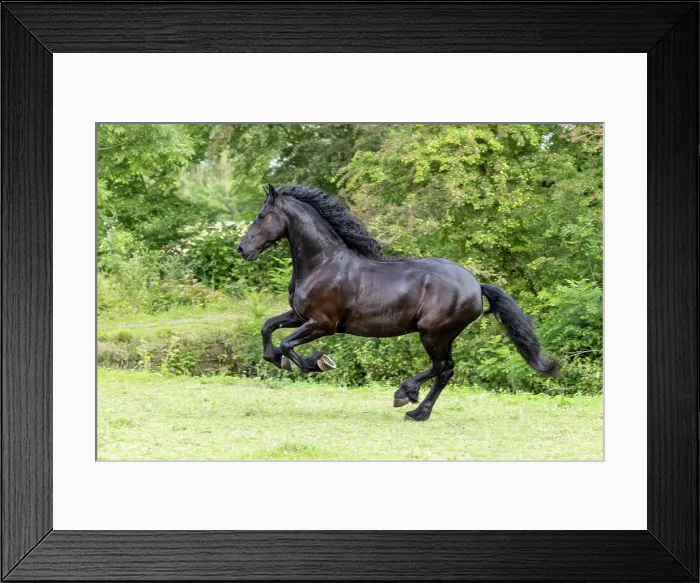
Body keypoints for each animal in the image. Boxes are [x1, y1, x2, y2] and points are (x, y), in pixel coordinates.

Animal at [238, 184, 559, 421]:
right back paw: (417, 411)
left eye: (262, 215)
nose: (242, 249)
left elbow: (287, 344)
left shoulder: (322, 324)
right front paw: (278, 360)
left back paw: (406, 396)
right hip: (444, 335)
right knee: (446, 370)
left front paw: (318, 362)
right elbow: (268, 328)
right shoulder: (298, 316)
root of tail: (476, 285)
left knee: (443, 367)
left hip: (432, 333)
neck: (323, 264)